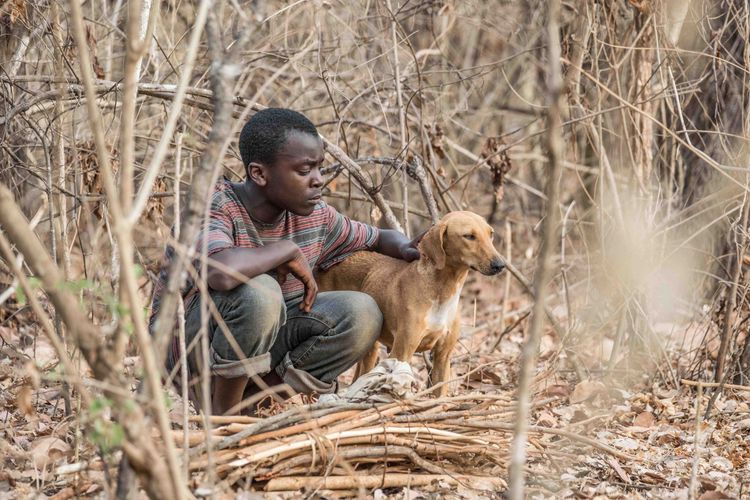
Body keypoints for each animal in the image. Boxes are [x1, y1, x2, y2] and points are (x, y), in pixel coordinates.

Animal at [318, 211, 506, 394]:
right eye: (469, 236)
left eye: (491, 234)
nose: (500, 265)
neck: (442, 291)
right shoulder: (401, 353)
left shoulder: (442, 357)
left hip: (371, 347)